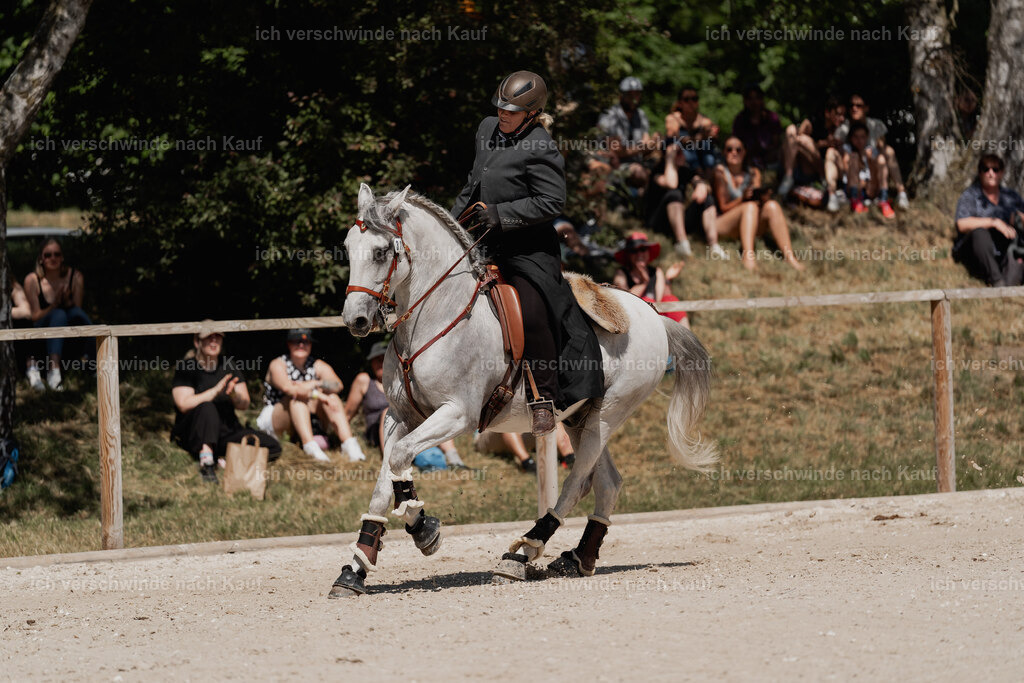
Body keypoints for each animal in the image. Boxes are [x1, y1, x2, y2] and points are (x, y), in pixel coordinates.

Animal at [330, 183, 716, 597]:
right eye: (348, 245)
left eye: (380, 252)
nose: (356, 319)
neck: (436, 313)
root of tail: (654, 315)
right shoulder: (399, 418)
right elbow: (385, 481)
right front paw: (356, 567)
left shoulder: (456, 414)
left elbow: (401, 458)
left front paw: (422, 528)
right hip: (581, 418)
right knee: (607, 483)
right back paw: (577, 559)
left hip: (608, 414)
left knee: (577, 483)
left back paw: (522, 553)